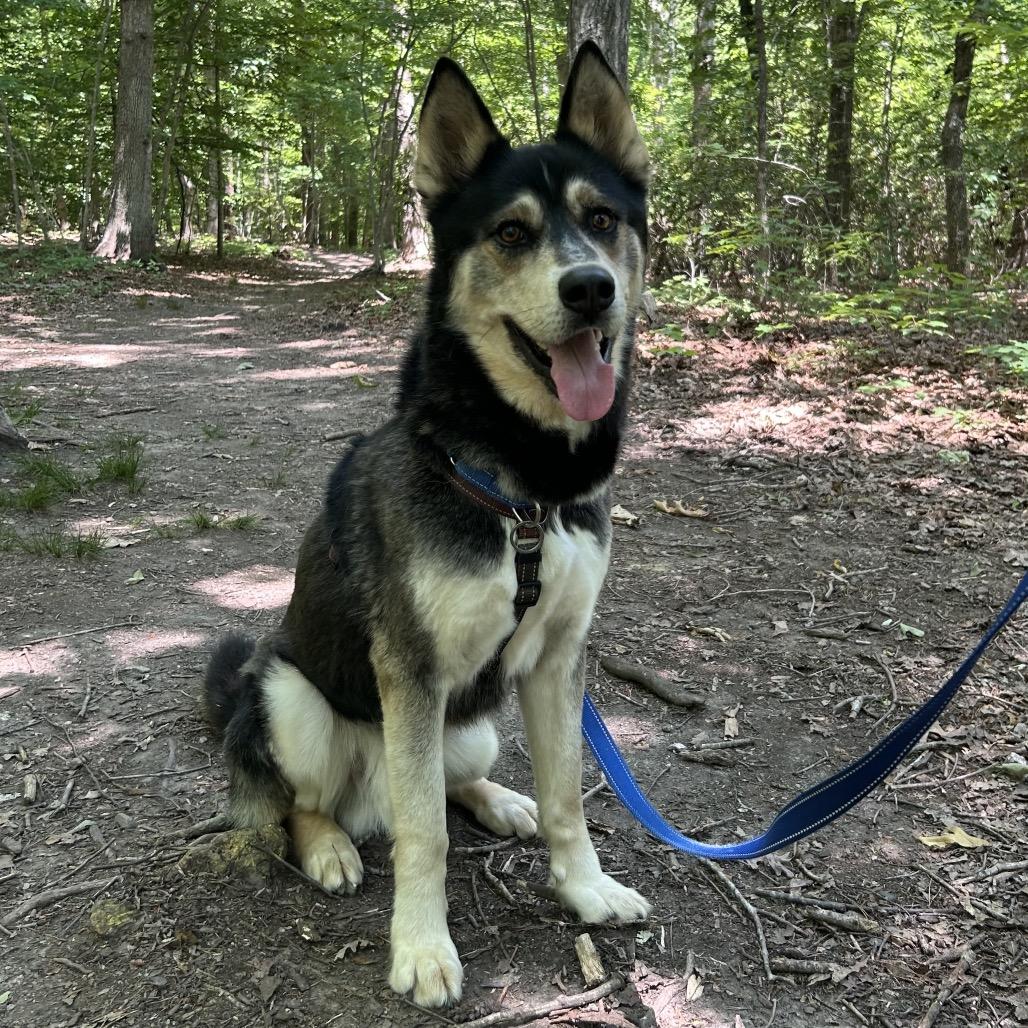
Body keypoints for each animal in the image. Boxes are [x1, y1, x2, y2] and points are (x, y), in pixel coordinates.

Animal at [204, 41, 651, 1008]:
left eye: (601, 219)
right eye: (511, 234)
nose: (591, 290)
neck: (524, 486)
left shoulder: (559, 660)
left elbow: (568, 798)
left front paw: (585, 889)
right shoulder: (409, 669)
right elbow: (425, 838)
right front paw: (422, 947)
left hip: (471, 721)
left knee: (456, 785)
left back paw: (501, 801)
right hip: (291, 697)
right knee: (311, 805)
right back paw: (333, 847)